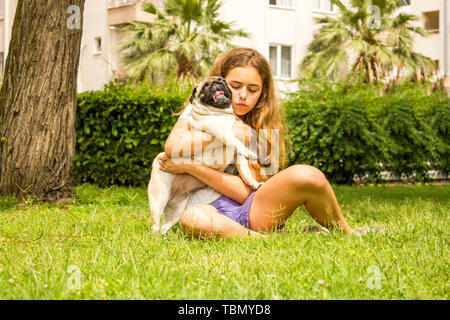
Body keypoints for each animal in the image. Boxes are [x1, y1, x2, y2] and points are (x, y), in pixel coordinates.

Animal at [149, 76, 264, 234]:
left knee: (164, 226)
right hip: (159, 197)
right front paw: (250, 153)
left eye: (223, 80)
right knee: (155, 225)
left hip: (177, 209)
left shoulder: (237, 156)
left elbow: (245, 171)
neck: (221, 112)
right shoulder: (224, 132)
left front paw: (253, 183)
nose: (217, 83)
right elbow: (236, 142)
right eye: (205, 86)